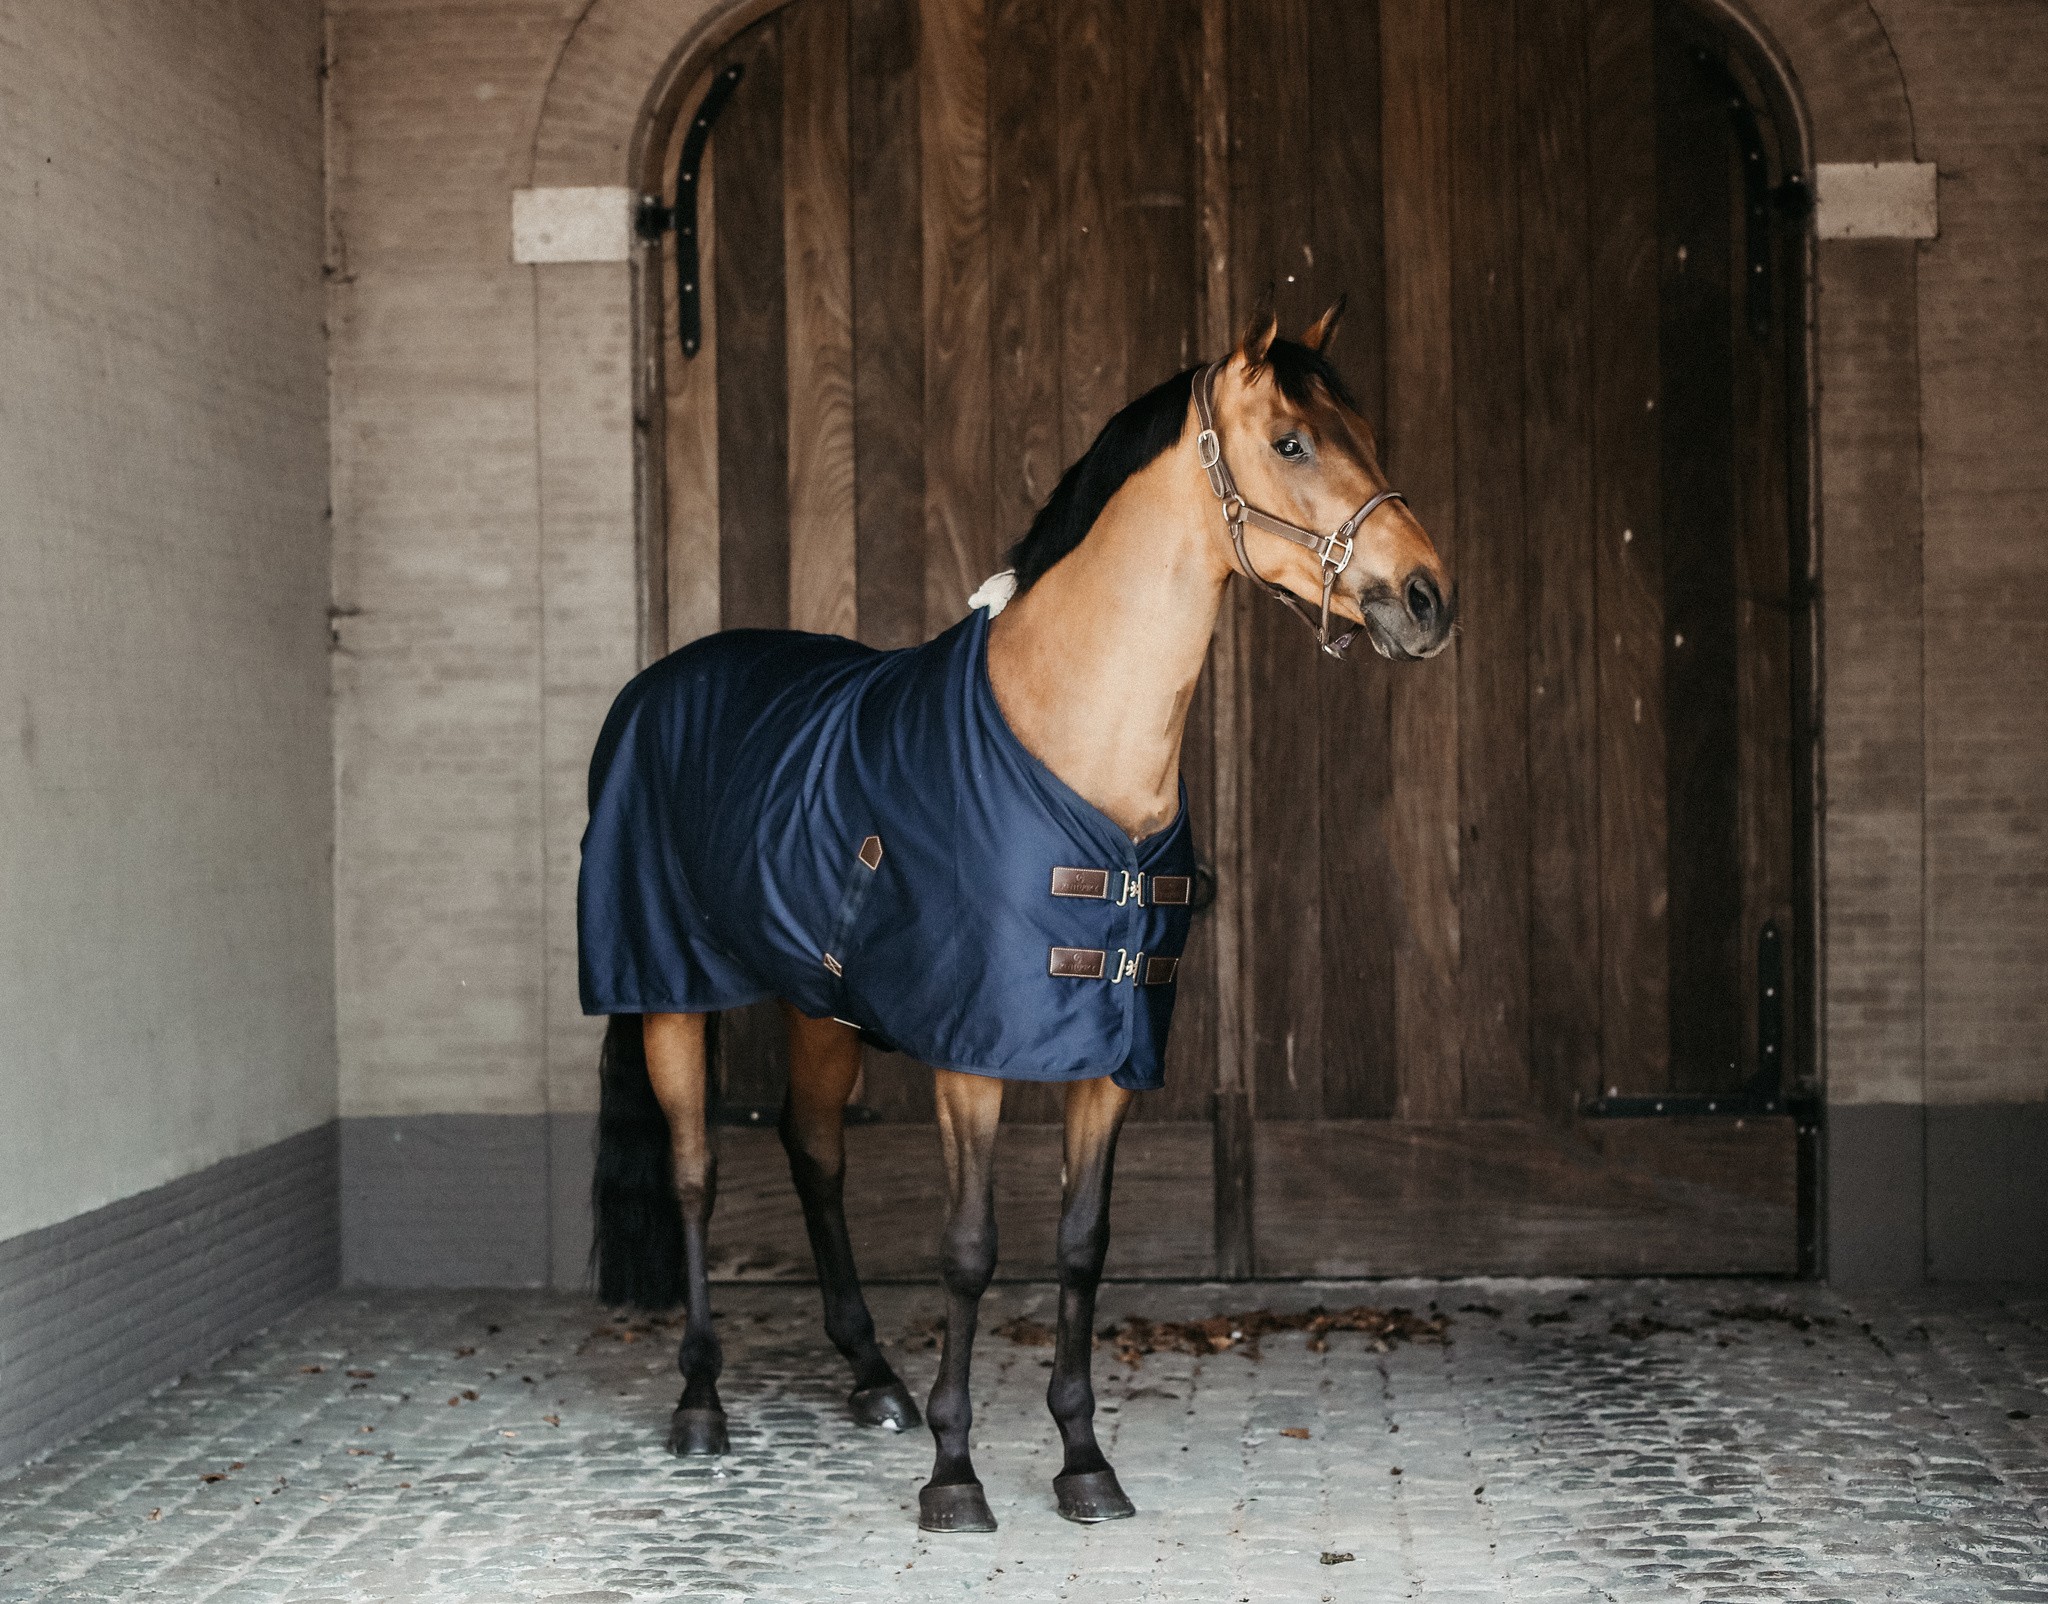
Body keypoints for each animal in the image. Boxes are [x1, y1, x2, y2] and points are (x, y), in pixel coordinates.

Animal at [580, 300, 1454, 1533]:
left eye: (1366, 434)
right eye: (1291, 442)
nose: (1427, 598)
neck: (1071, 735)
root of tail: (657, 683)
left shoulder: (1113, 1058)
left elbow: (1080, 1246)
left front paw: (1083, 1459)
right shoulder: (970, 1057)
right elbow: (968, 1248)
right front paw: (955, 1473)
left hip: (820, 1008)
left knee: (814, 1154)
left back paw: (872, 1378)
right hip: (669, 997)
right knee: (697, 1175)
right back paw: (702, 1402)